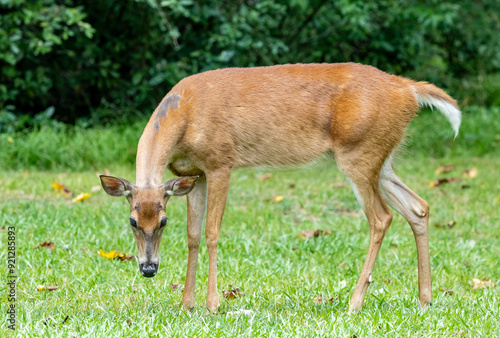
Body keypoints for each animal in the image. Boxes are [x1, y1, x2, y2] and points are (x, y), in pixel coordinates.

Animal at [99, 62, 462, 312]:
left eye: (161, 222)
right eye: (133, 221)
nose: (148, 268)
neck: (182, 118)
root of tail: (408, 89)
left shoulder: (220, 162)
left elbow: (213, 232)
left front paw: (213, 304)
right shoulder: (193, 173)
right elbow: (193, 235)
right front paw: (187, 303)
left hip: (359, 152)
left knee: (382, 217)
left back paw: (355, 302)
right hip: (381, 158)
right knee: (418, 206)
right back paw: (425, 299)